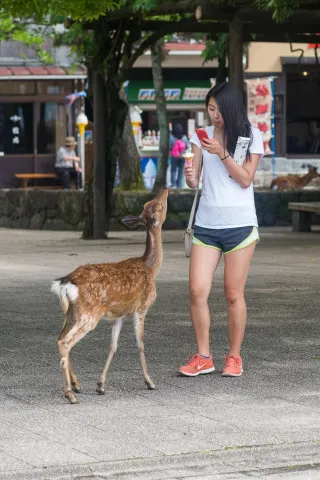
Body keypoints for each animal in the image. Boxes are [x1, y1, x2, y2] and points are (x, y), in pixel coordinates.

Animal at [50, 189, 168, 404]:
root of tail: (67, 282)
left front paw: (101, 385)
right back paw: (70, 393)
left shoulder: (119, 314)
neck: (150, 267)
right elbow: (140, 344)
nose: (164, 189)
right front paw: (149, 381)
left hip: (71, 313)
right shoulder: (141, 307)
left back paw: (76, 384)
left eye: (149, 204)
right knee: (65, 342)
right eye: (159, 205)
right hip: (89, 315)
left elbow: (113, 346)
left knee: (58, 339)